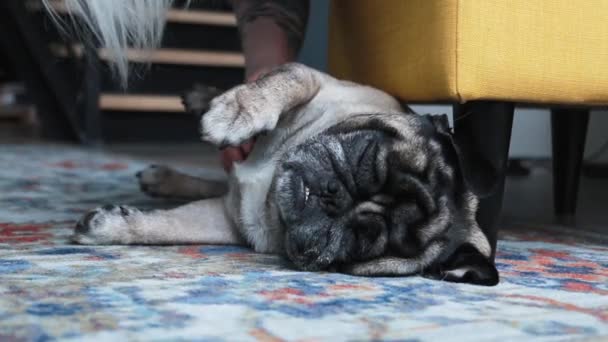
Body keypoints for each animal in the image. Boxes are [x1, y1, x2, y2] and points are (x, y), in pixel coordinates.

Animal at [72, 62, 498, 286]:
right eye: (366, 154)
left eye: (362, 241)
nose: (334, 196)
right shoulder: (323, 82)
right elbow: (287, 79)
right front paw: (235, 112)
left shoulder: (230, 220)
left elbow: (169, 228)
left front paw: (111, 228)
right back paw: (204, 101)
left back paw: (163, 178)